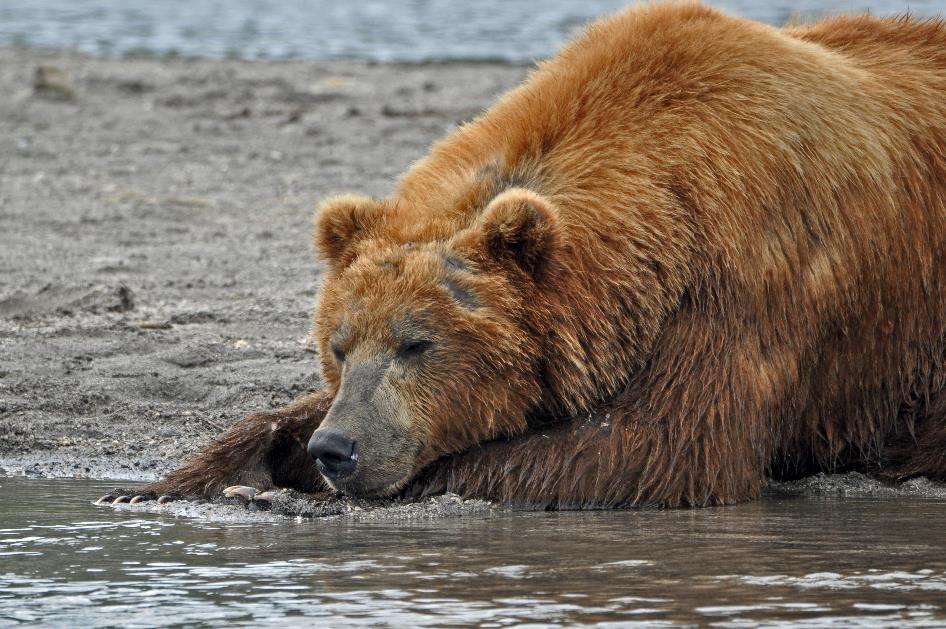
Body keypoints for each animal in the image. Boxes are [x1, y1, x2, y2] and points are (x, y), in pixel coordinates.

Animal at [97, 2, 944, 508]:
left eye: (418, 342)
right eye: (338, 345)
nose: (338, 448)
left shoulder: (748, 284)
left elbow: (654, 449)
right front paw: (163, 483)